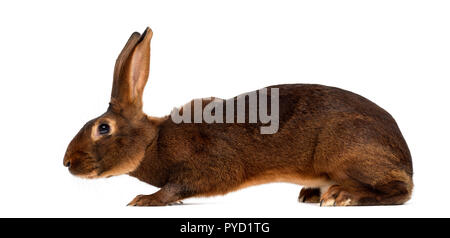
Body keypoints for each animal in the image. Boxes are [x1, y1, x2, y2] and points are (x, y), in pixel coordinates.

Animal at [62, 27, 412, 206]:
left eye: (103, 128)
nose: (67, 163)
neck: (153, 141)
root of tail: (406, 156)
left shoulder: (210, 165)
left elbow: (180, 186)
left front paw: (146, 199)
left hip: (346, 149)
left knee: (402, 190)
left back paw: (343, 195)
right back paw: (311, 194)